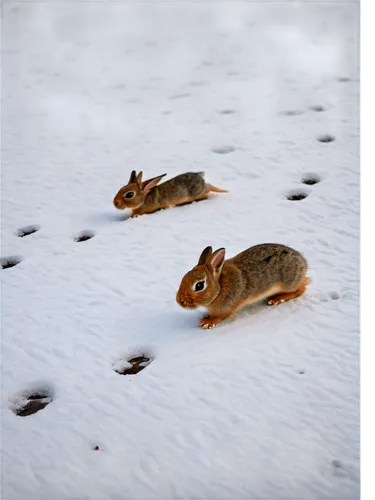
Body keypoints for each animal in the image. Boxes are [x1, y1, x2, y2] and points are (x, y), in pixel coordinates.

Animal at [176, 244, 312, 330]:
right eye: (184, 277)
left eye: (199, 285)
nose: (179, 301)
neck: (219, 287)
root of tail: (303, 262)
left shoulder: (227, 309)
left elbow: (220, 317)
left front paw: (207, 322)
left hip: (289, 283)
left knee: (301, 288)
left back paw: (277, 299)